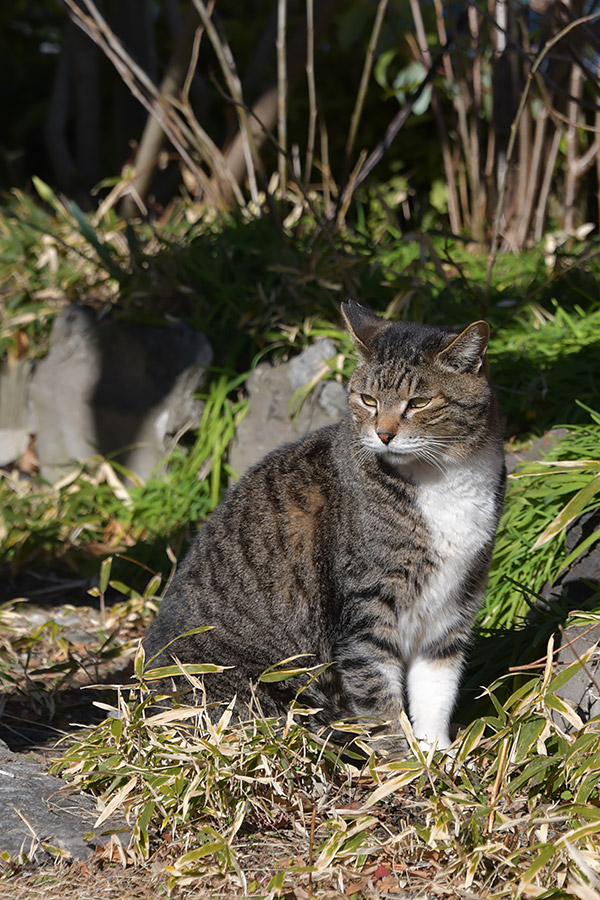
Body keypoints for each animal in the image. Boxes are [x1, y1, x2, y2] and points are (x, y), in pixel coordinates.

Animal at [145, 302, 506, 752]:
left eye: (419, 402)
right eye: (368, 399)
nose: (383, 434)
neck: (443, 478)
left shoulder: (454, 604)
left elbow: (436, 689)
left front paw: (436, 754)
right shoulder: (364, 609)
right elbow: (378, 697)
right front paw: (399, 759)